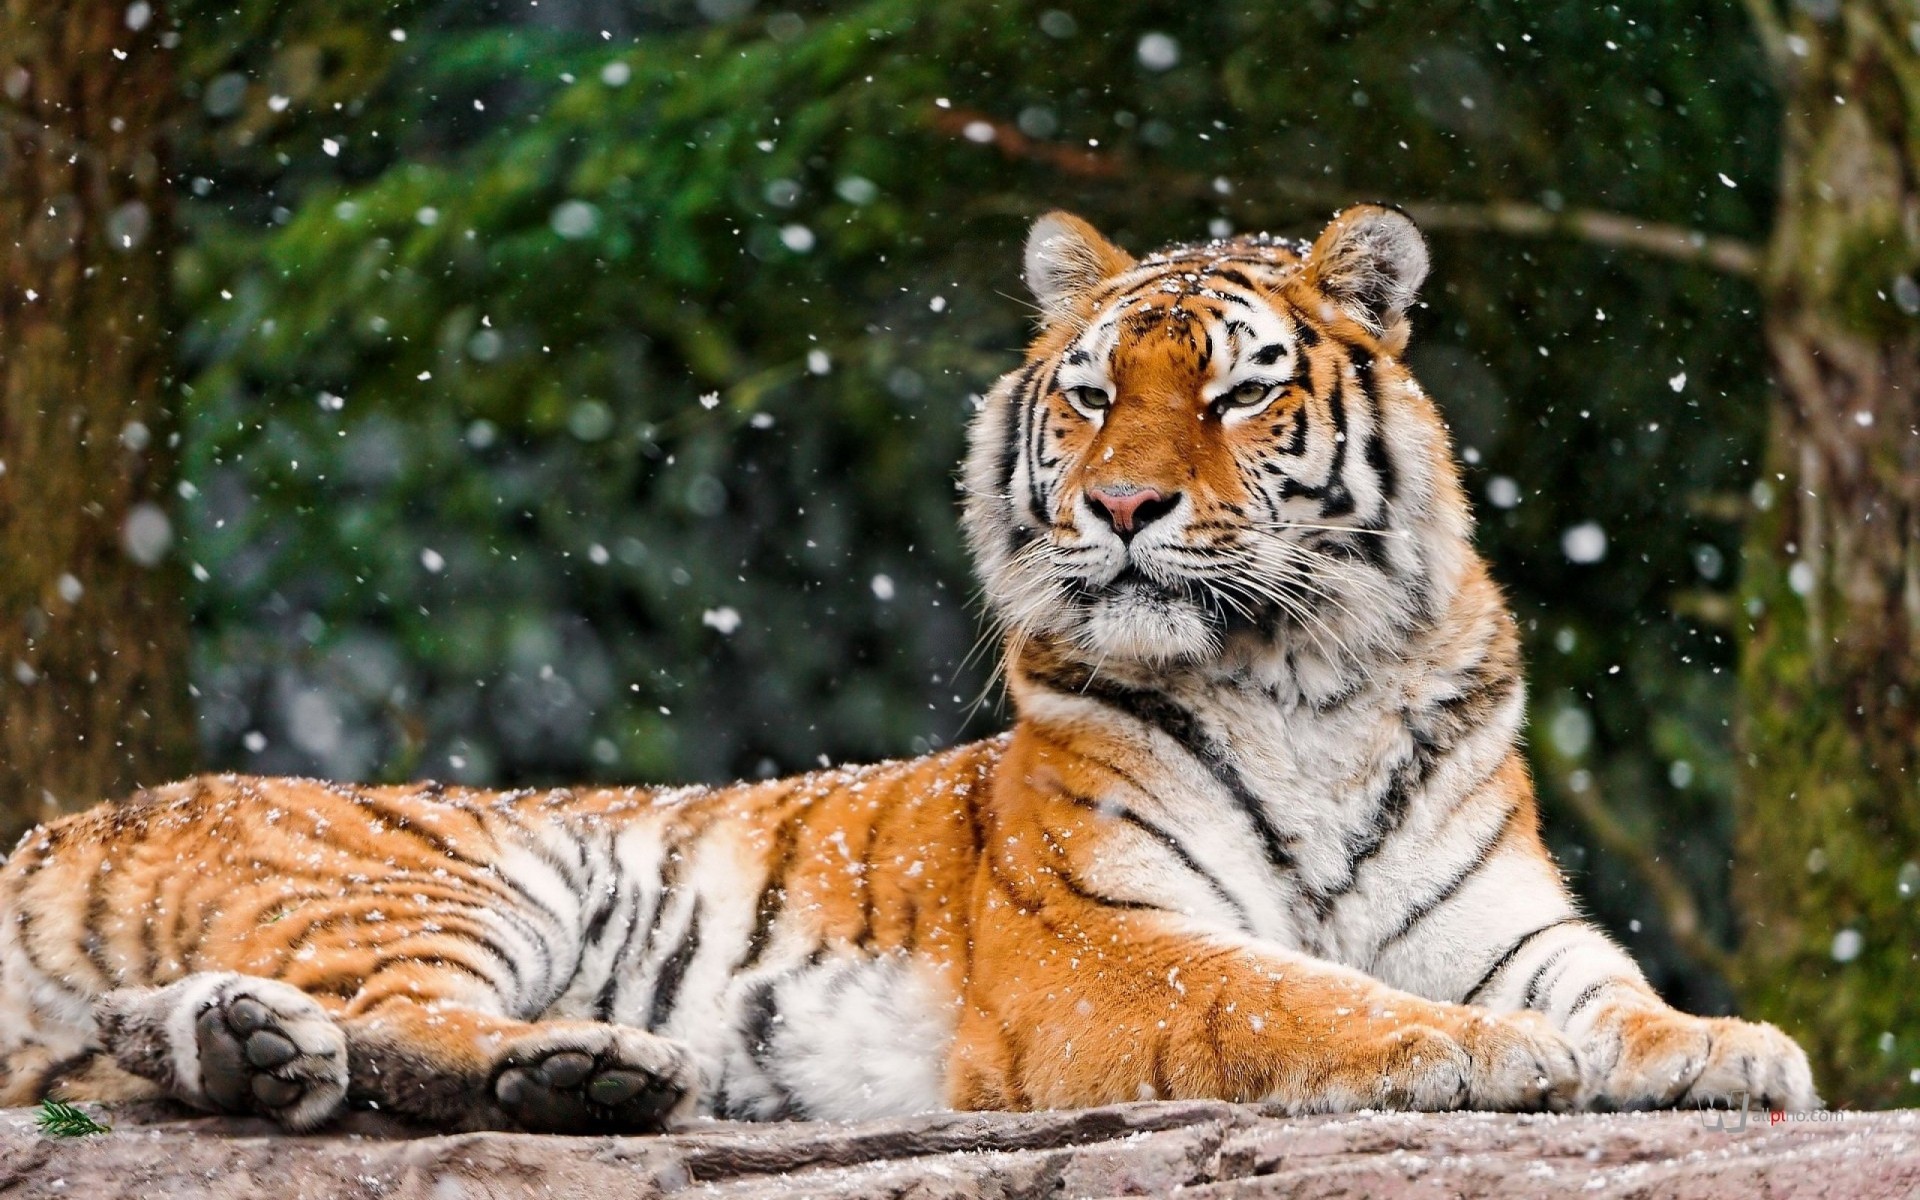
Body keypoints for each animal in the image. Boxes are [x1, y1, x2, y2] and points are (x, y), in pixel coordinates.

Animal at [0, 205, 1816, 1135]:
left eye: (1238, 392)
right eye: (1092, 392)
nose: (1125, 507)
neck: (1310, 679)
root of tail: (66, 821)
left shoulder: (1507, 917)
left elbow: (1612, 989)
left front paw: (1728, 1046)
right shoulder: (1104, 941)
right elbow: (1296, 993)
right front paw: (1476, 1052)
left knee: (212, 1037)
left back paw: (281, 1053)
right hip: (447, 873)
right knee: (390, 1025)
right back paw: (578, 1068)